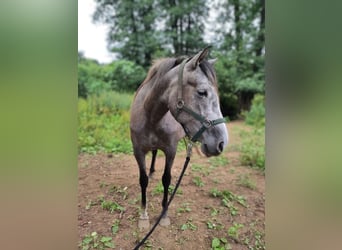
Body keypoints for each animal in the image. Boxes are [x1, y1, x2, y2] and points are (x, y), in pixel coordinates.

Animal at [130, 46, 228, 229]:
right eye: (202, 92)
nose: (221, 143)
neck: (150, 116)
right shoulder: (138, 151)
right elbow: (143, 180)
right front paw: (143, 215)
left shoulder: (171, 150)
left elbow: (166, 179)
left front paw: (164, 215)